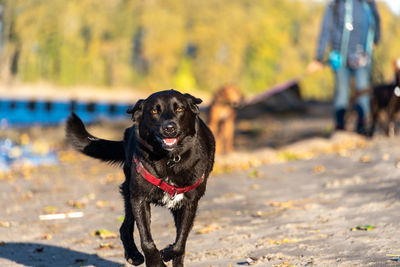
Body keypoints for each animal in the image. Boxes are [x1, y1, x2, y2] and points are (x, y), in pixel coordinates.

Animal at [65, 90, 216, 267]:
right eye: (154, 111)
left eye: (179, 109)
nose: (169, 128)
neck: (169, 159)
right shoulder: (139, 199)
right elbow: (147, 241)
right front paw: (156, 262)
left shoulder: (190, 203)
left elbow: (181, 242)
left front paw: (167, 253)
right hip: (129, 194)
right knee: (125, 227)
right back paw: (133, 254)